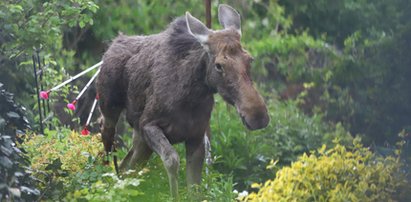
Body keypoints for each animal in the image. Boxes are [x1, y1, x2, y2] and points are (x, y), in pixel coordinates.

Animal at [96, 3, 270, 198]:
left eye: (250, 59)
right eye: (219, 65)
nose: (257, 116)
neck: (191, 97)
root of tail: (114, 42)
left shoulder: (196, 136)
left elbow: (194, 186)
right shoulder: (148, 124)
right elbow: (172, 160)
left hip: (140, 138)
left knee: (128, 168)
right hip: (110, 109)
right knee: (106, 133)